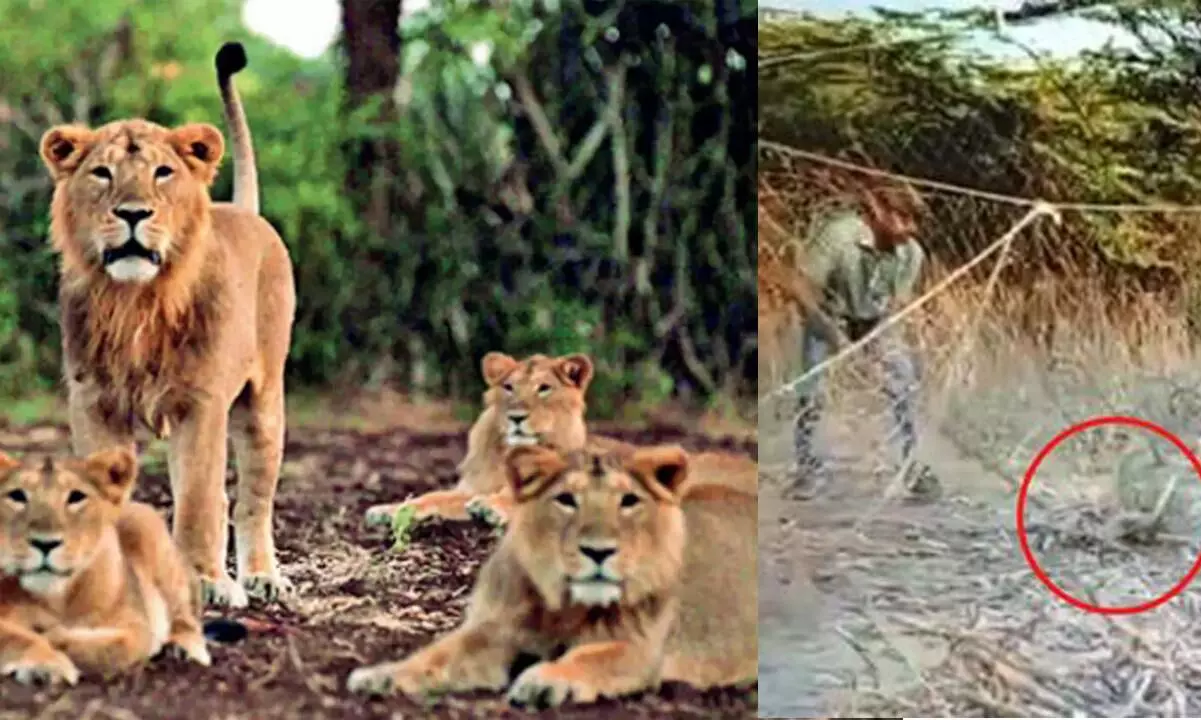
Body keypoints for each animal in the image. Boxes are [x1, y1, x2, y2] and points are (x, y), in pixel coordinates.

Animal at [0, 444, 211, 686]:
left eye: (76, 496)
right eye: (17, 495)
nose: (45, 543)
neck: (55, 598)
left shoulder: (135, 625)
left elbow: (119, 647)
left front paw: (54, 636)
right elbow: (16, 637)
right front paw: (45, 664)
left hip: (150, 530)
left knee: (185, 616)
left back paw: (185, 648)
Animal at [37, 42, 295, 607]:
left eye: (161, 172)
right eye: (102, 173)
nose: (133, 213)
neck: (135, 303)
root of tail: (245, 211)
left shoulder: (201, 403)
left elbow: (198, 501)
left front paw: (205, 583)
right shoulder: (94, 402)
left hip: (263, 403)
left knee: (249, 499)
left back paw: (260, 577)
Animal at [350, 441, 759, 705]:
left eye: (628, 501)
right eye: (566, 500)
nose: (598, 551)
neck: (565, 605)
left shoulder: (640, 650)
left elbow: (589, 658)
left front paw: (544, 679)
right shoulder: (495, 630)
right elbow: (437, 655)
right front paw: (382, 676)